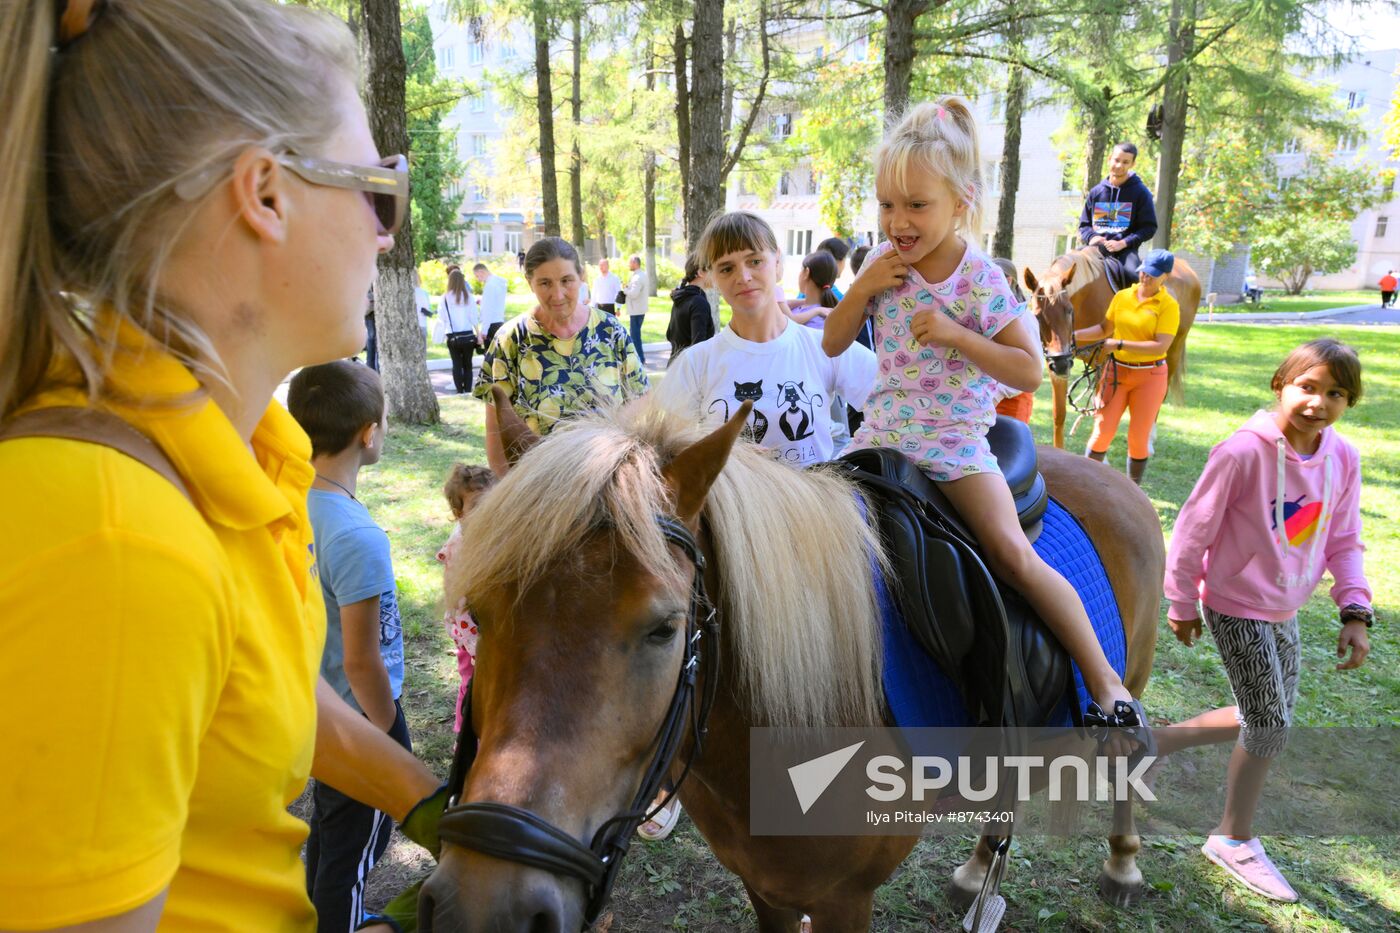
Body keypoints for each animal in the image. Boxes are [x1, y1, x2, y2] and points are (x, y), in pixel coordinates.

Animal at [420, 389, 1164, 924]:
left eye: (665, 628)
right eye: (477, 613)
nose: (486, 906)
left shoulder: (846, 899)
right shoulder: (767, 886)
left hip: (1129, 674)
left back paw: (1124, 864)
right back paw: (981, 870)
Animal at [1019, 250, 1204, 448]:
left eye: (1069, 310)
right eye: (1037, 315)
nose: (1061, 364)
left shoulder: (1102, 362)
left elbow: (1100, 411)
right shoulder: (1057, 364)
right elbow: (1059, 415)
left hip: (1173, 350)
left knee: (1161, 393)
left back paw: (1149, 437)